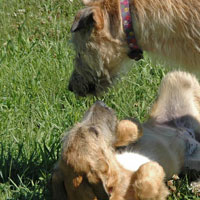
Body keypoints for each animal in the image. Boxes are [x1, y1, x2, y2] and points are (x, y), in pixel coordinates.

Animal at [52, 71, 200, 199]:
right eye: (93, 131)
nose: (99, 102)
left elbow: (123, 129)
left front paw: (133, 127)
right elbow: (144, 183)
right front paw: (154, 167)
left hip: (175, 78)